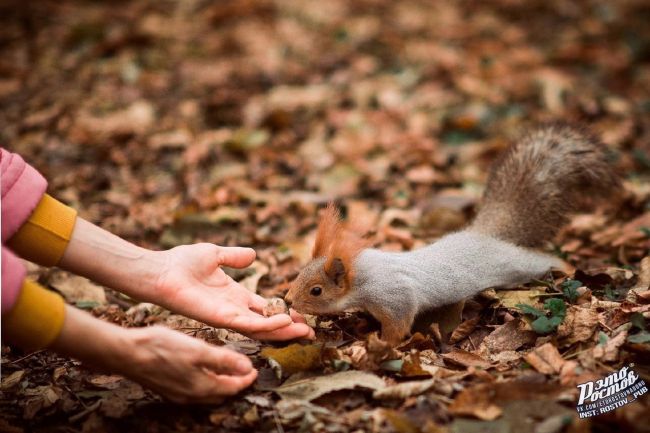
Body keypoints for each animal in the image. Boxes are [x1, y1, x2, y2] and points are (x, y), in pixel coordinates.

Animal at [284, 122, 616, 344]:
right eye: (298, 275)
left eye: (316, 290)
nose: (287, 301)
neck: (361, 276)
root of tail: (485, 235)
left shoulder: (394, 296)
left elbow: (399, 323)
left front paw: (383, 343)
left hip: (516, 266)